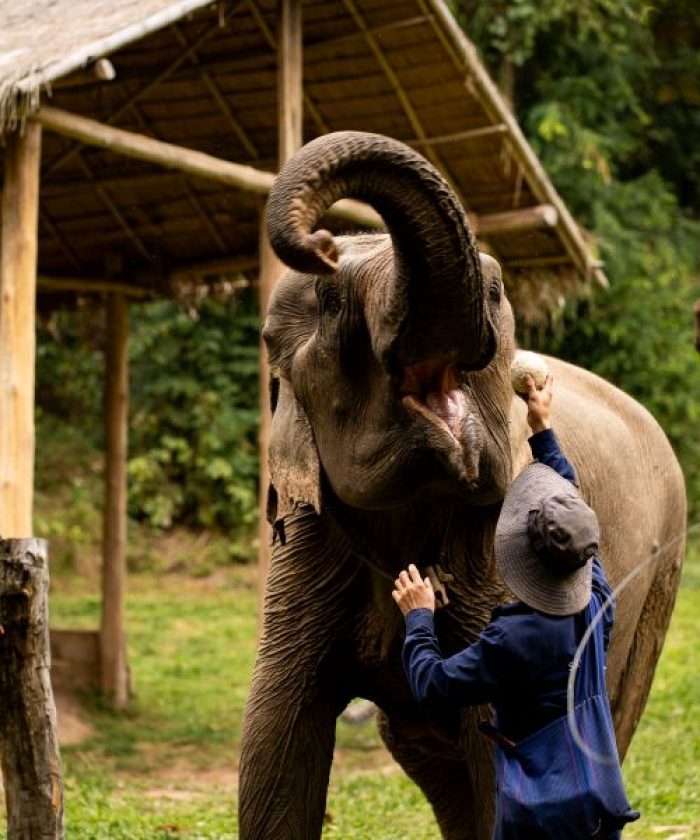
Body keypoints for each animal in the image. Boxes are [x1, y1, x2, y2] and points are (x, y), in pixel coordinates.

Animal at [238, 131, 686, 839]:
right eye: (333, 302)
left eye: (496, 289)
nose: (324, 241)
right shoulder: (307, 548)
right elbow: (275, 738)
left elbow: (489, 745)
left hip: (664, 570)